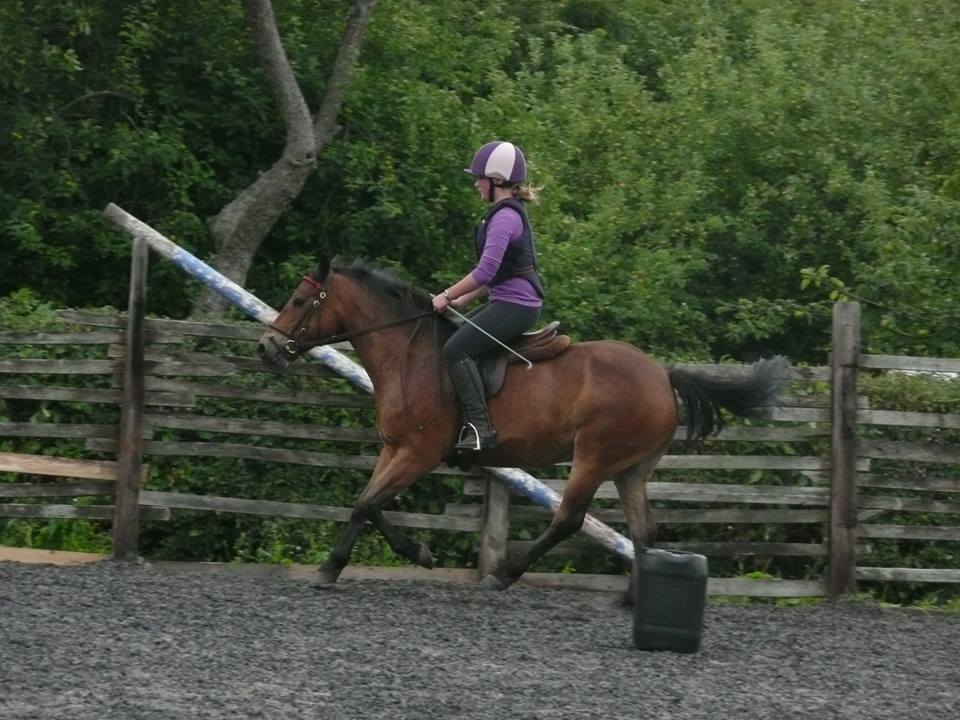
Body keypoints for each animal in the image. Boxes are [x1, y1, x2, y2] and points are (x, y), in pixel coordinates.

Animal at [257, 257, 788, 590]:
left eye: (301, 301)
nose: (266, 347)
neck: (407, 353)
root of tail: (662, 374)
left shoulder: (418, 454)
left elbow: (368, 504)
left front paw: (352, 565)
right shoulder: (395, 450)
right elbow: (366, 504)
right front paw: (385, 558)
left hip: (593, 458)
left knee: (569, 519)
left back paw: (504, 575)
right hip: (630, 469)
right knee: (644, 533)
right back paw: (632, 599)